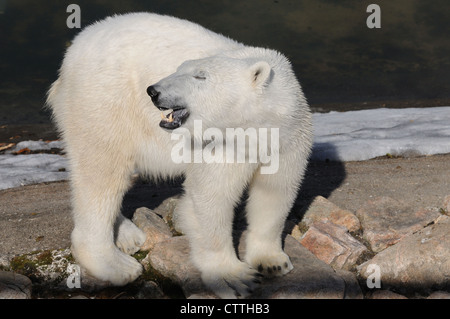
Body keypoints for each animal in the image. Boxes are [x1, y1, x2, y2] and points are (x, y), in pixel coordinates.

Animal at [46, 11, 312, 298]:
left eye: (200, 76)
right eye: (178, 69)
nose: (153, 91)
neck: (256, 127)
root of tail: (72, 52)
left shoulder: (287, 139)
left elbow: (275, 192)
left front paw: (272, 262)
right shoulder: (220, 142)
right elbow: (212, 196)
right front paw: (234, 278)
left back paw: (128, 236)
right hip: (103, 101)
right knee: (103, 172)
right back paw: (116, 264)